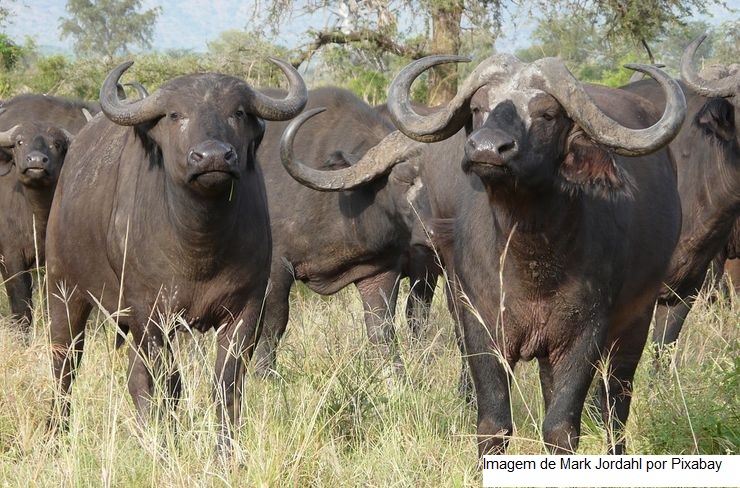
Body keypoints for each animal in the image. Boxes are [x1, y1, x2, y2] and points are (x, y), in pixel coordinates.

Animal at [0, 94, 96, 332]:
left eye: (57, 144)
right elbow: (21, 305)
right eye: (20, 142)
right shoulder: (10, 258)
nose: (36, 161)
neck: (34, 217)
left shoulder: (49, 263)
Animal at [45, 59, 307, 452]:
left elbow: (226, 384)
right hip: (64, 292)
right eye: (174, 114)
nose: (212, 156)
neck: (199, 246)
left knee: (134, 377)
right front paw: (170, 442)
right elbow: (169, 384)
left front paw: (225, 451)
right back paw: (56, 435)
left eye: (238, 111)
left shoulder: (245, 311)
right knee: (65, 365)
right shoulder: (151, 315)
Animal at [379, 54, 686, 455]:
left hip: (636, 321)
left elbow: (561, 428)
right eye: (478, 107)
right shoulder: (480, 328)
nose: (487, 149)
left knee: (616, 404)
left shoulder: (585, 334)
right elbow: (493, 425)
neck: (530, 260)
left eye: (547, 114)